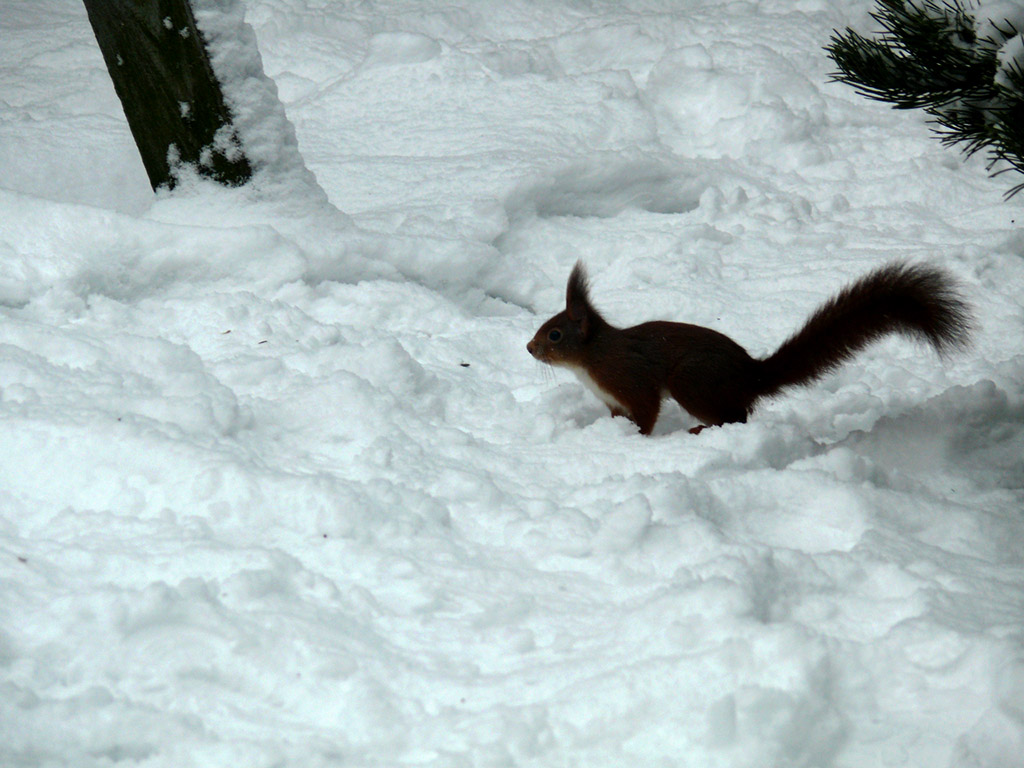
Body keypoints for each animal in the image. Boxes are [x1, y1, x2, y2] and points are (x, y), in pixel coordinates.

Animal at [527, 261, 972, 435]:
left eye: (555, 334)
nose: (529, 348)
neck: (591, 358)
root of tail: (751, 375)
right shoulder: (612, 400)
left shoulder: (632, 380)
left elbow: (648, 412)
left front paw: (638, 440)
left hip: (692, 381)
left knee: (736, 417)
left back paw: (702, 430)